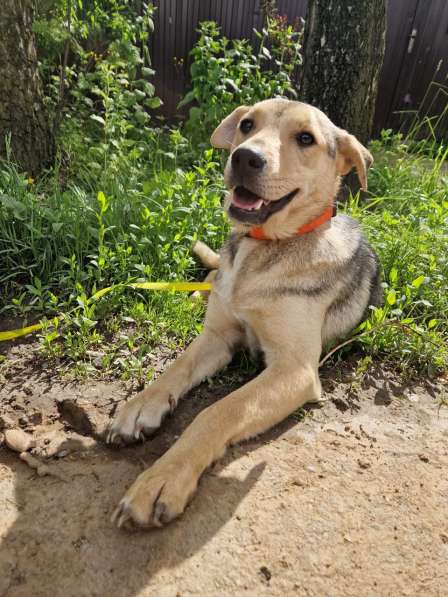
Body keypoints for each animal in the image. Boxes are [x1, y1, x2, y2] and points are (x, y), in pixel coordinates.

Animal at [107, 100, 382, 528]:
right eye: (247, 125)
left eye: (306, 138)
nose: (244, 157)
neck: (263, 248)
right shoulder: (218, 336)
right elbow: (176, 367)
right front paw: (140, 406)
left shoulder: (294, 369)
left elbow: (218, 412)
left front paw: (164, 477)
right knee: (210, 275)